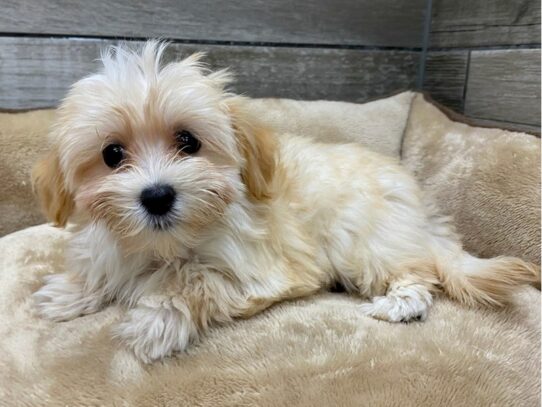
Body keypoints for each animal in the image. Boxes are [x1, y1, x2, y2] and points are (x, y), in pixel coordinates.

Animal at [31, 41, 540, 364]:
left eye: (188, 142)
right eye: (112, 155)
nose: (157, 195)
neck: (166, 245)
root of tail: (419, 203)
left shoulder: (258, 271)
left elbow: (196, 279)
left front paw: (155, 320)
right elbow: (101, 268)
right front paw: (68, 293)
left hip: (364, 240)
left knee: (418, 272)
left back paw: (399, 304)